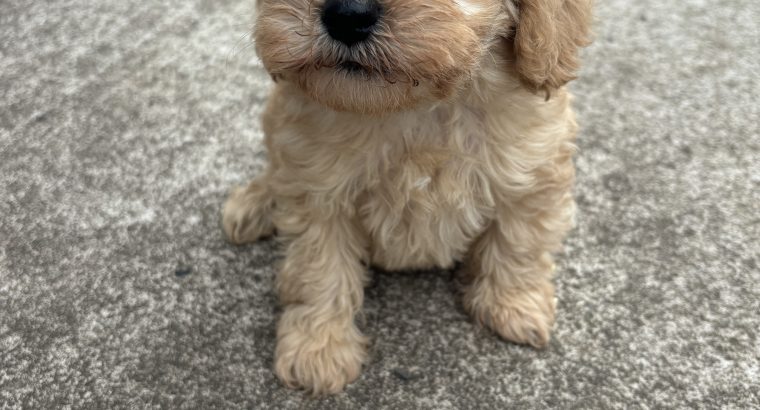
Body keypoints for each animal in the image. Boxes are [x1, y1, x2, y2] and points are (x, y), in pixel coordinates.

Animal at [223, 0, 592, 396]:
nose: (347, 14)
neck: (415, 107)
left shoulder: (534, 170)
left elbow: (519, 245)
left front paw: (513, 305)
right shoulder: (316, 187)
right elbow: (318, 270)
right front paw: (318, 348)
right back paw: (254, 204)